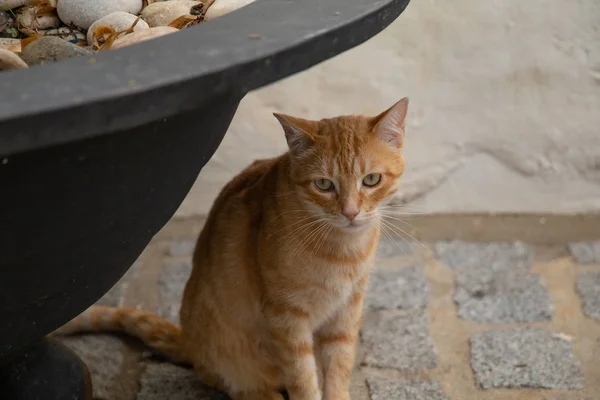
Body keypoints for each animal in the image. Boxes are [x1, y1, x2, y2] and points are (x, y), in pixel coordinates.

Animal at [55, 97, 408, 400]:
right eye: (324, 184)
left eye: (371, 180)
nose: (350, 213)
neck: (343, 250)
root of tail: (190, 342)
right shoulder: (287, 318)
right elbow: (303, 377)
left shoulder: (347, 313)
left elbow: (338, 369)